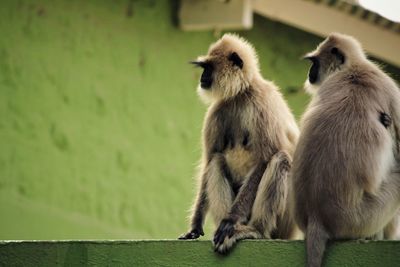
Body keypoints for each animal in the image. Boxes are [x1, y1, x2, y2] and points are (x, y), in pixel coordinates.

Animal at [178, 33, 300, 253]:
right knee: (216, 161)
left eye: (208, 68)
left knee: (281, 158)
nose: (202, 78)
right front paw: (194, 228)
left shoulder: (262, 105)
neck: (240, 95)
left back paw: (254, 230)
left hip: (287, 220)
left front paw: (231, 220)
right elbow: (209, 159)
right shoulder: (217, 111)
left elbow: (264, 160)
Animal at [290, 32, 400, 266]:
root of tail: (317, 217)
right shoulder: (391, 90)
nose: (310, 73)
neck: (353, 69)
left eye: (314, 63)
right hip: (365, 217)